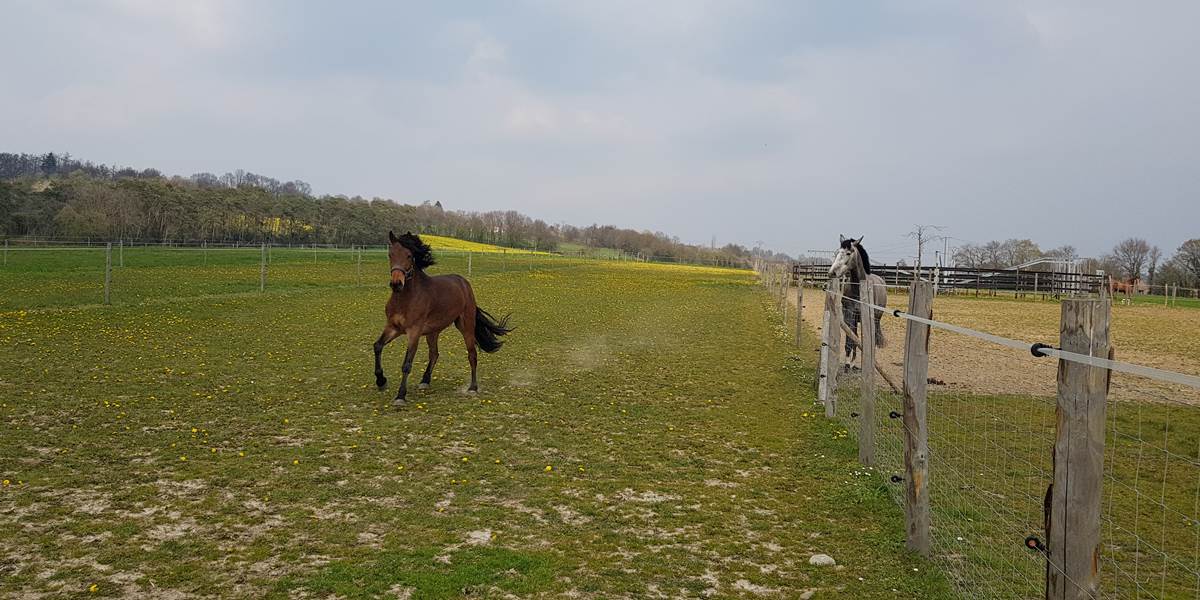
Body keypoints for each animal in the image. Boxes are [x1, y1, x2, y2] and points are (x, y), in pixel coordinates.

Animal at [373, 231, 512, 407]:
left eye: (409, 255)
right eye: (390, 255)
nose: (396, 283)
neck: (405, 299)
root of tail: (463, 282)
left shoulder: (413, 332)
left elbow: (407, 364)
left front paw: (400, 396)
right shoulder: (393, 327)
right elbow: (377, 346)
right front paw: (381, 381)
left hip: (465, 326)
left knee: (472, 354)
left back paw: (473, 388)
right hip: (433, 331)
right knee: (434, 354)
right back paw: (425, 381)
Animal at [828, 235, 887, 365]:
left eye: (848, 253)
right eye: (837, 252)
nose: (832, 273)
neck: (859, 290)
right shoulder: (849, 315)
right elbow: (851, 339)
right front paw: (849, 362)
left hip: (876, 319)